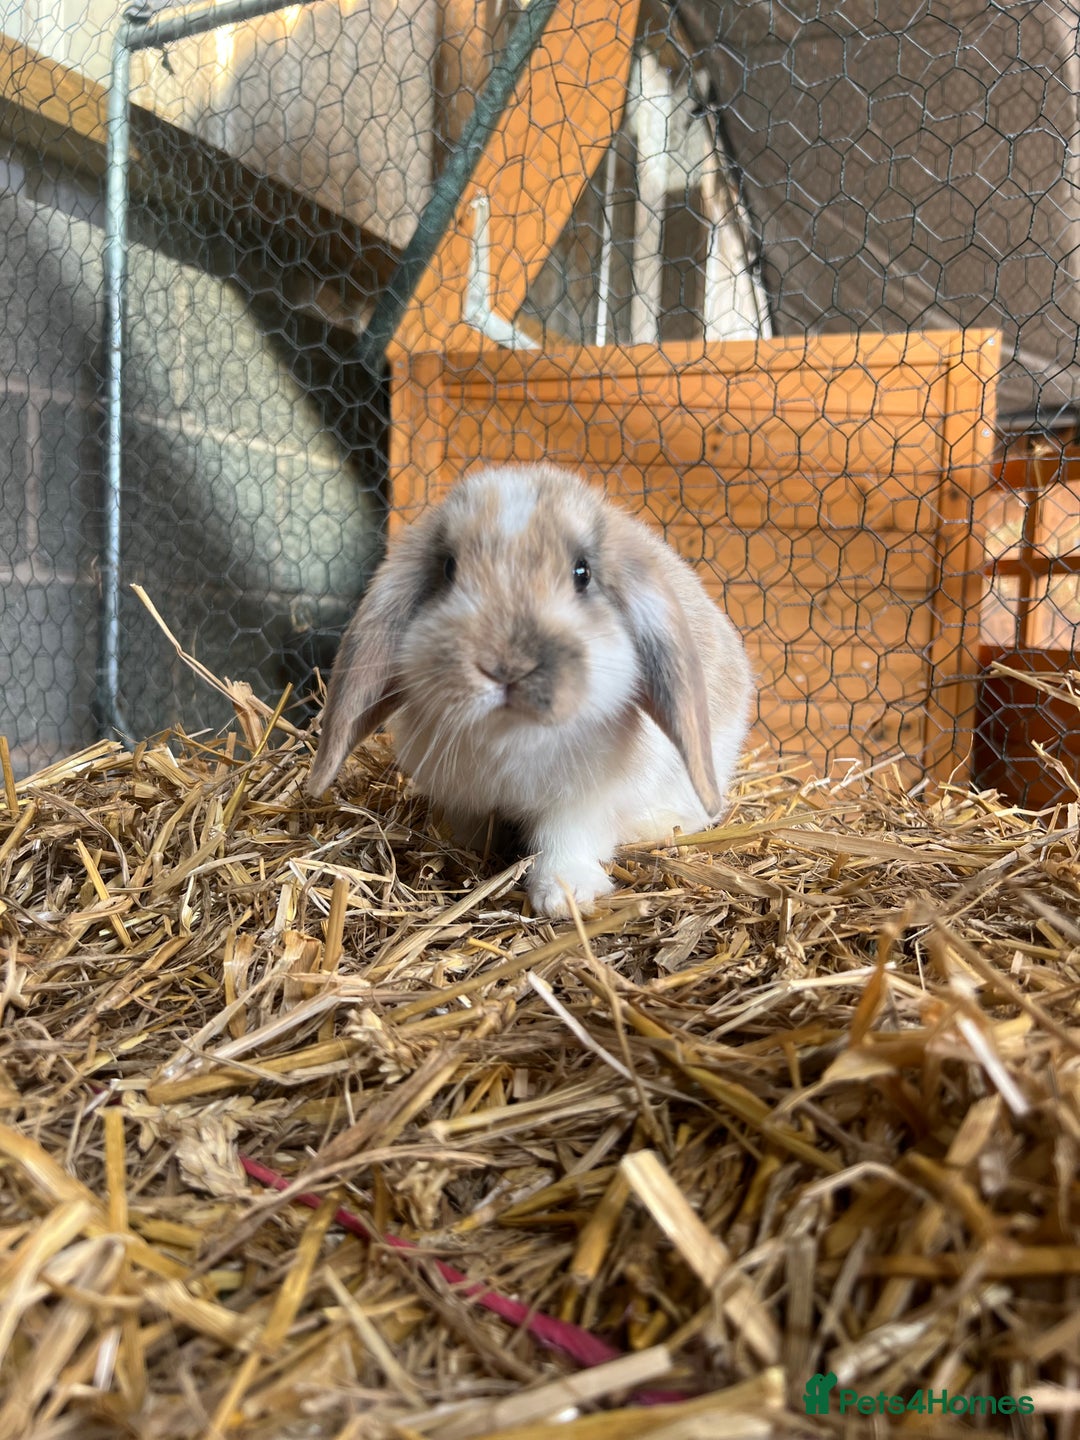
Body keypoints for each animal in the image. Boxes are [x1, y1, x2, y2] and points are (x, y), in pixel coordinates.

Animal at [306, 463, 752, 918]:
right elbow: (469, 829)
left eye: (582, 573)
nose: (507, 666)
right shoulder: (464, 797)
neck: (512, 734)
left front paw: (564, 896)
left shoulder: (583, 802)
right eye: (448, 568)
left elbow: (566, 839)